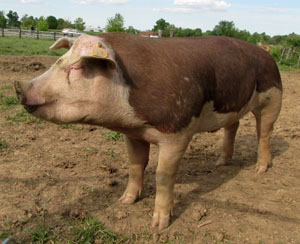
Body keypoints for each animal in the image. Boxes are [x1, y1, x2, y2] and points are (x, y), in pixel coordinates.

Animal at [14, 33, 282, 230]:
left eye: (78, 66)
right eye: (60, 59)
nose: (19, 86)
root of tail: (267, 55)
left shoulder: (177, 131)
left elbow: (163, 175)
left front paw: (159, 226)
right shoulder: (133, 134)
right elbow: (136, 165)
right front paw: (125, 201)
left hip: (273, 98)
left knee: (264, 133)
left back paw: (261, 169)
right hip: (233, 104)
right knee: (232, 126)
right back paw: (220, 163)